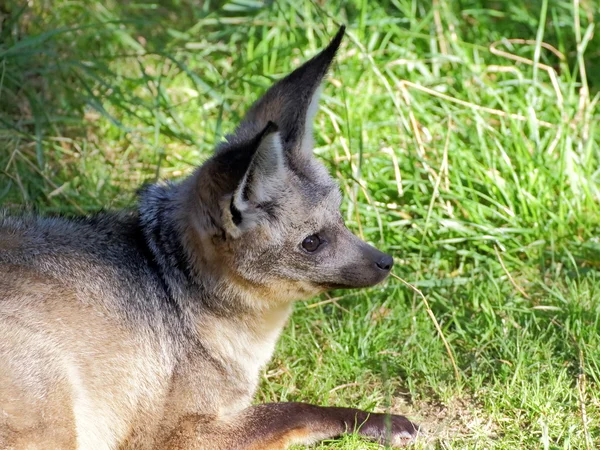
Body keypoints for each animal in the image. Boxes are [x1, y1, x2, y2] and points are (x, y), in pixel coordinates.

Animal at [1, 25, 418, 450]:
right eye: (312, 242)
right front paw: (381, 421)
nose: (387, 262)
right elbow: (293, 409)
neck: (175, 291)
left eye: (341, 218)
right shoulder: (178, 433)